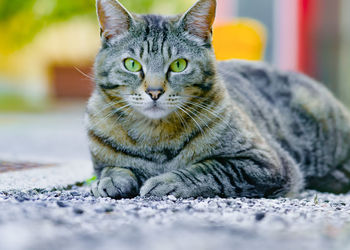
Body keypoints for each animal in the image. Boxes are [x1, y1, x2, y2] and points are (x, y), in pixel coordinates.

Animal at [87, 0, 350, 199]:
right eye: (132, 64)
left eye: (179, 65)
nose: (154, 91)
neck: (155, 136)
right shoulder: (101, 159)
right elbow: (110, 167)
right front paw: (112, 179)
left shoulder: (263, 161)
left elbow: (210, 169)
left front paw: (167, 181)